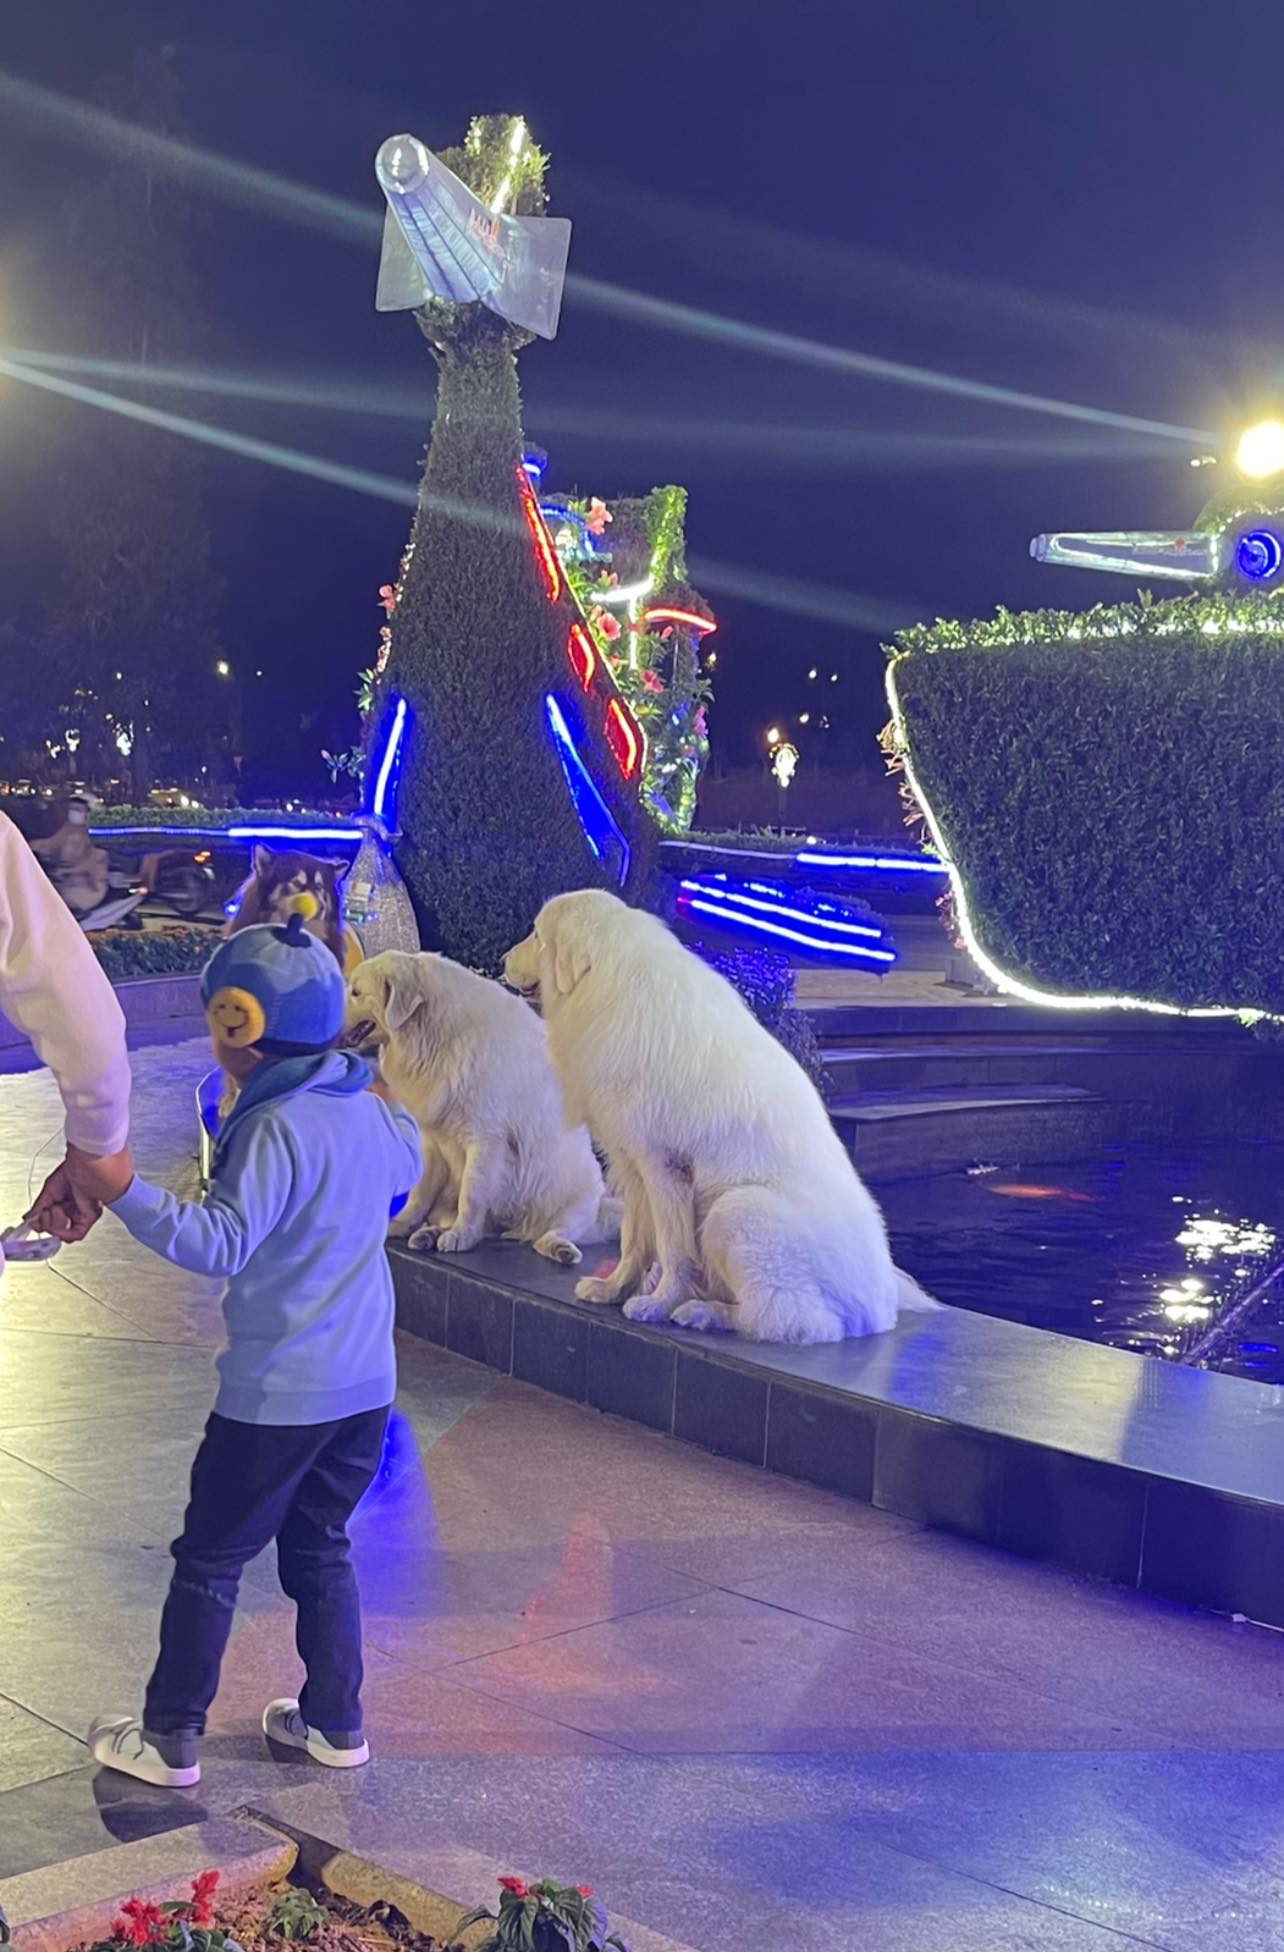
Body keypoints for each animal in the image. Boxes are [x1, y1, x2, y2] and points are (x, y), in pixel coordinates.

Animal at [345, 949, 617, 1257]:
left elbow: (472, 1193)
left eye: (356, 993)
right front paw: (402, 1223)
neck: (435, 1034)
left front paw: (461, 1235)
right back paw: (427, 1234)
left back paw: (559, 1248)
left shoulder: (486, 1140)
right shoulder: (431, 1138)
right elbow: (420, 1191)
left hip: (578, 1198)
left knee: (551, 1233)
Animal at [504, 894, 941, 1343]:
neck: (608, 983)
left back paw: (701, 1312)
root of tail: (883, 1309)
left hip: (735, 1211)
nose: (502, 962)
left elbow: (673, 1250)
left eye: (536, 935)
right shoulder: (634, 1163)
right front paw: (613, 1289)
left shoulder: (663, 1166)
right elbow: (635, 1241)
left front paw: (656, 1304)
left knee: (789, 1319)